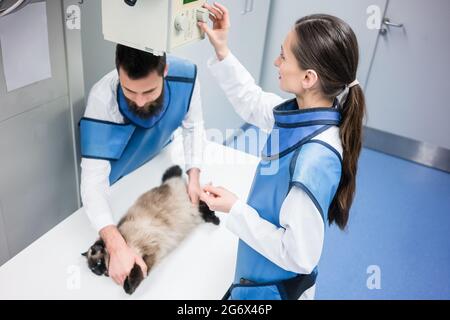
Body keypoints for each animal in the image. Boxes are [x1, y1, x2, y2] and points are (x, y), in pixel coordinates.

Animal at [83, 166, 221, 294]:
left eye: (98, 263)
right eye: (93, 270)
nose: (99, 272)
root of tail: (167, 183)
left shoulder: (142, 255)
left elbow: (136, 273)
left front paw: (128, 288)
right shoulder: (149, 256)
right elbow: (141, 272)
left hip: (193, 202)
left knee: (204, 204)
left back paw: (215, 219)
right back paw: (213, 218)